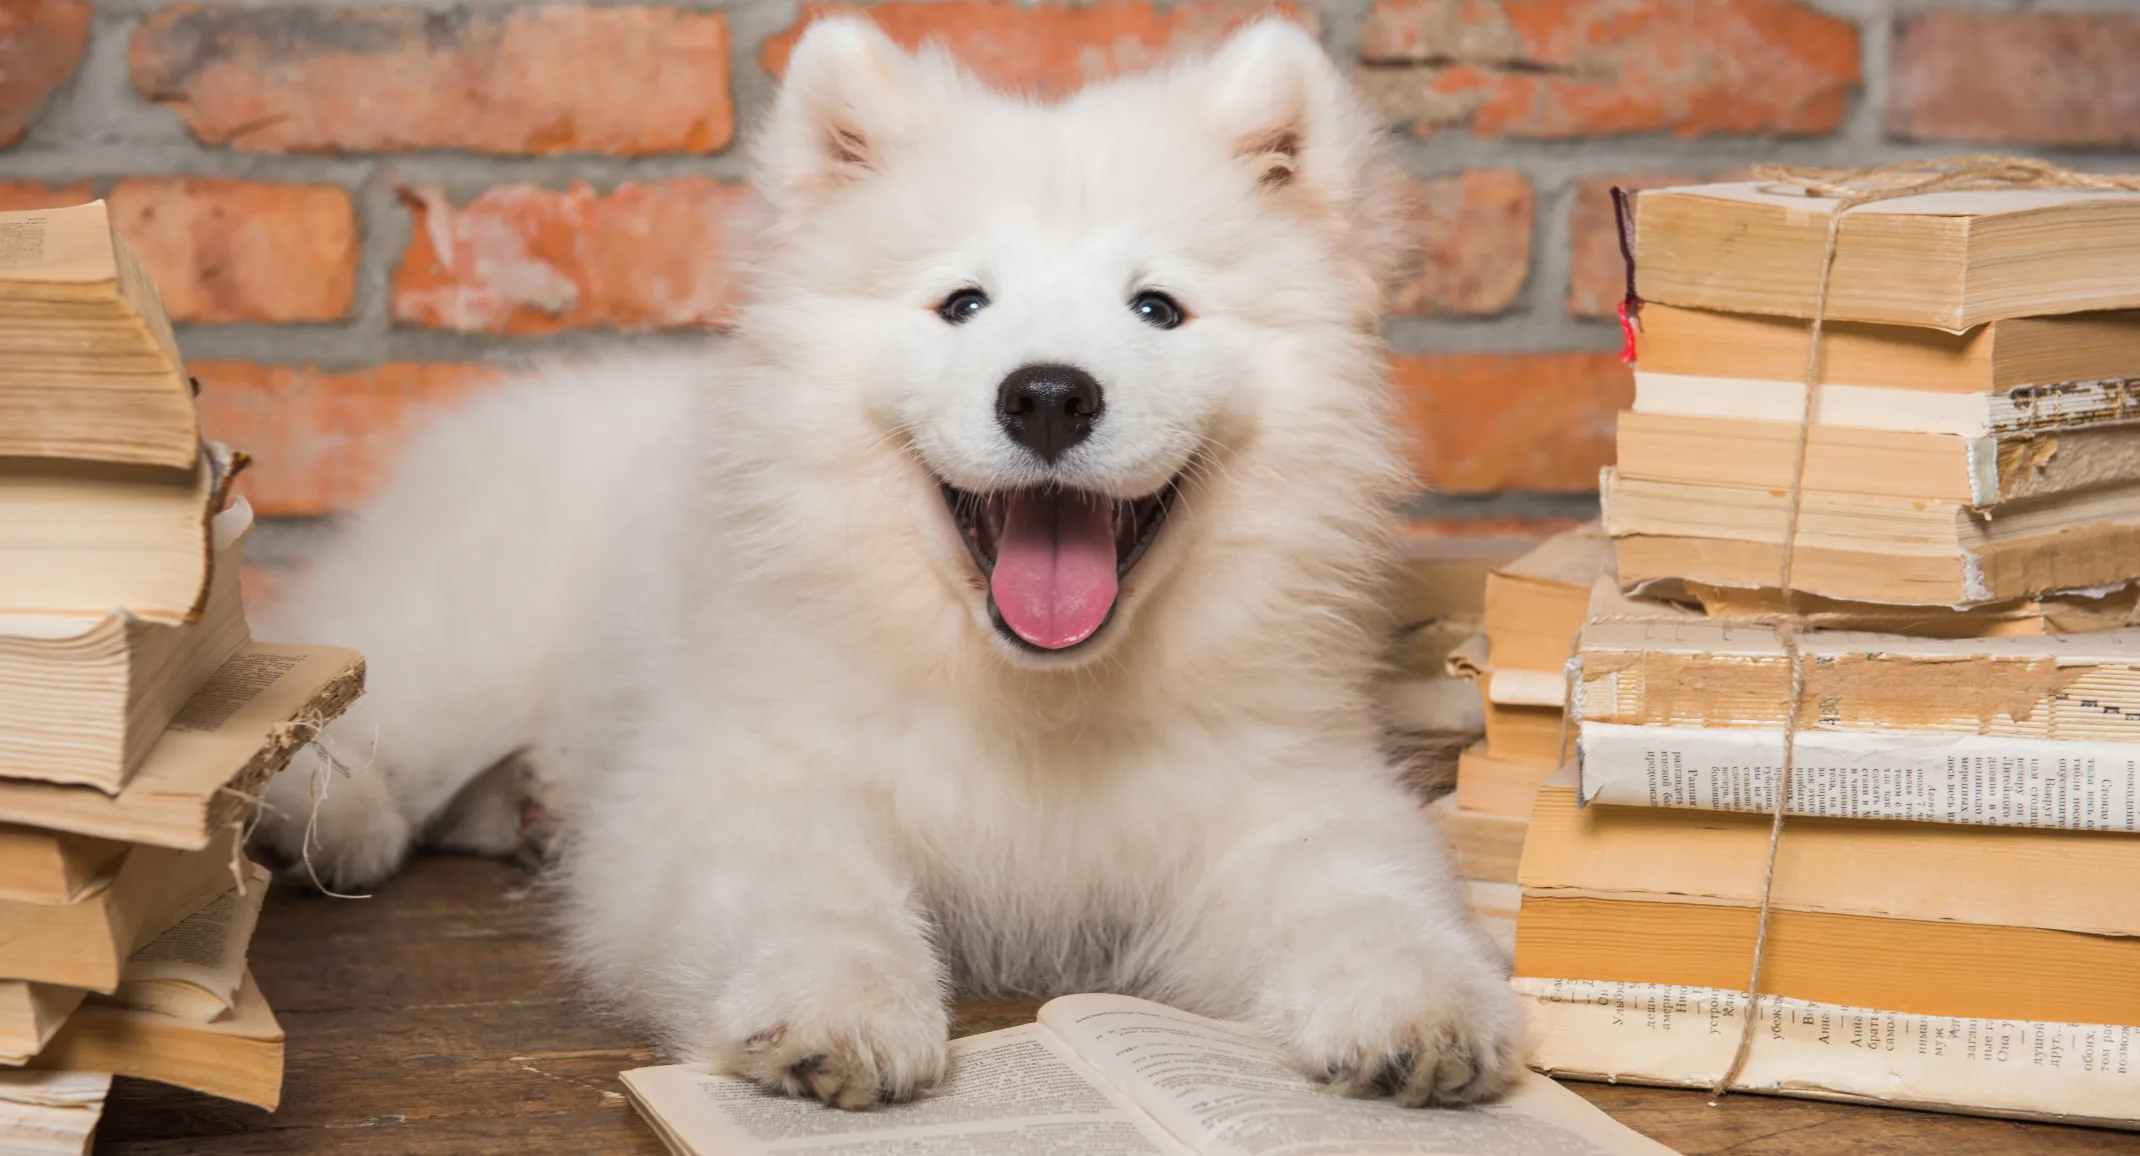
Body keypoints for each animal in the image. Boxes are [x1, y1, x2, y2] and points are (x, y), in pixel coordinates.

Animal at [254, 13, 1523, 1104]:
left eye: (1157, 308)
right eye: (962, 303)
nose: (1048, 393)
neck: (1037, 698)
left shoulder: (1281, 794)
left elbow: (1360, 891)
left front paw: (1424, 1010)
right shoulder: (752, 777)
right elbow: (813, 887)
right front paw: (838, 1014)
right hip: (464, 641)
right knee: (356, 706)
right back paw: (313, 821)